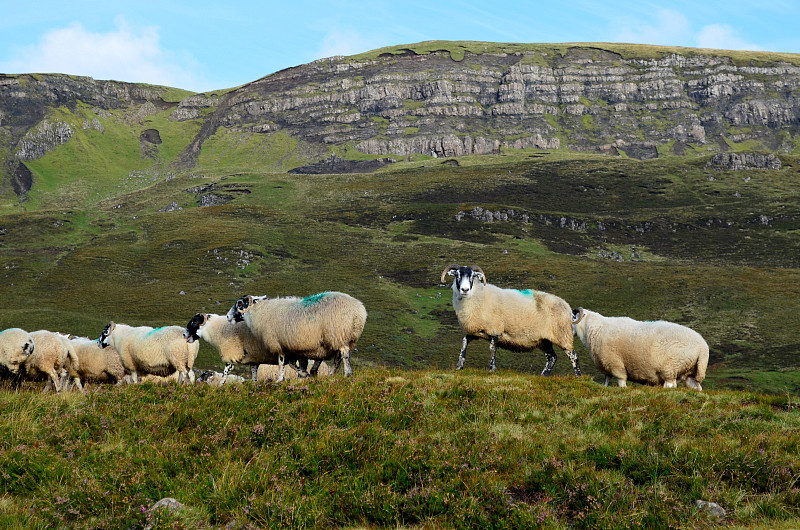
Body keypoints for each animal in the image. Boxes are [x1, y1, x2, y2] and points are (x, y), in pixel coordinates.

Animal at [222, 290, 366, 382]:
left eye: (240, 303)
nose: (228, 316)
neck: (260, 311)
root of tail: (359, 312)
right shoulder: (294, 348)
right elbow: (293, 363)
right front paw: (304, 375)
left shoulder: (279, 344)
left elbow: (282, 362)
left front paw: (280, 379)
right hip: (342, 338)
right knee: (338, 357)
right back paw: (331, 374)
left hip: (338, 334)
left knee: (344, 354)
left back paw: (347, 373)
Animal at [438, 262, 580, 374]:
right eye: (457, 275)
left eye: (473, 276)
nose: (465, 289)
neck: (478, 295)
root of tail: (567, 306)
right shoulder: (475, 330)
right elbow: (464, 342)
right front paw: (459, 365)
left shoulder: (495, 329)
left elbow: (492, 349)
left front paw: (492, 368)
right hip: (543, 340)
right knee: (552, 358)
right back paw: (543, 375)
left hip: (563, 335)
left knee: (574, 356)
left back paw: (577, 376)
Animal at [572, 306, 708, 388]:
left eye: (572, 317)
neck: (596, 328)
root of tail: (703, 347)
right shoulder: (606, 368)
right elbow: (605, 382)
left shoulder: (616, 364)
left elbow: (621, 382)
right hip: (691, 371)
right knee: (696, 387)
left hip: (671, 367)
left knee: (670, 385)